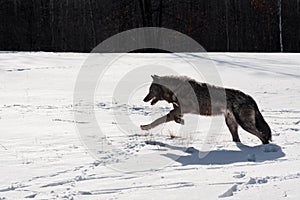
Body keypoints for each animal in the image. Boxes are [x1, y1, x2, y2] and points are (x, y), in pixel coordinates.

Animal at [141, 75, 272, 144]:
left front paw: (145, 127)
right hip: (231, 125)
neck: (176, 89)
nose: (144, 99)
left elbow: (162, 118)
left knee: (263, 136)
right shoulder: (179, 109)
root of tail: (249, 97)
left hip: (245, 124)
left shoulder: (184, 108)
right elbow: (171, 117)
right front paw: (180, 121)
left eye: (150, 90)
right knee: (238, 139)